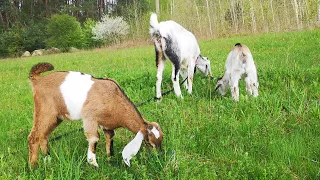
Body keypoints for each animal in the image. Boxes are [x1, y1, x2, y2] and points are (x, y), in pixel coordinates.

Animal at [27, 62, 162, 167]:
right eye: (148, 142)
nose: (158, 156)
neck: (114, 98)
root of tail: (38, 80)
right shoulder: (90, 117)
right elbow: (94, 138)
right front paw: (94, 164)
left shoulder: (107, 124)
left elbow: (110, 137)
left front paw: (110, 159)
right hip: (45, 111)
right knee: (33, 137)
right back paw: (33, 167)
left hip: (56, 117)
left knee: (43, 136)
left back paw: (48, 161)